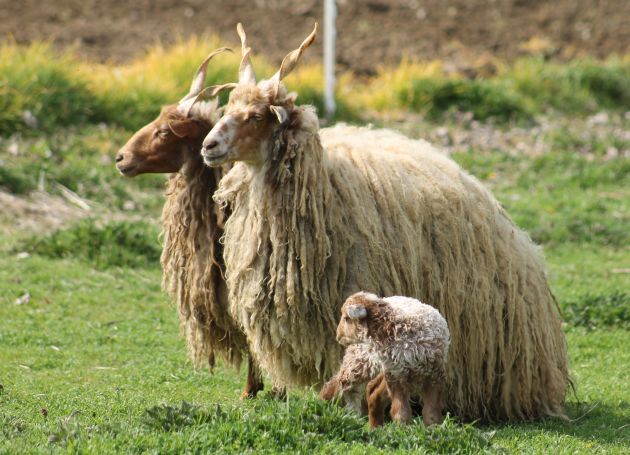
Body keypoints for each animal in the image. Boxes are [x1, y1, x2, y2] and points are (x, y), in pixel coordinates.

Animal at [328, 294, 452, 430]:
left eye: (346, 318)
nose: (338, 336)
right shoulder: (395, 377)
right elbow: (401, 412)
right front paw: (402, 430)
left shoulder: (434, 374)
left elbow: (431, 413)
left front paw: (434, 430)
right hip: (361, 361)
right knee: (339, 383)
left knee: (372, 391)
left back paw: (374, 428)